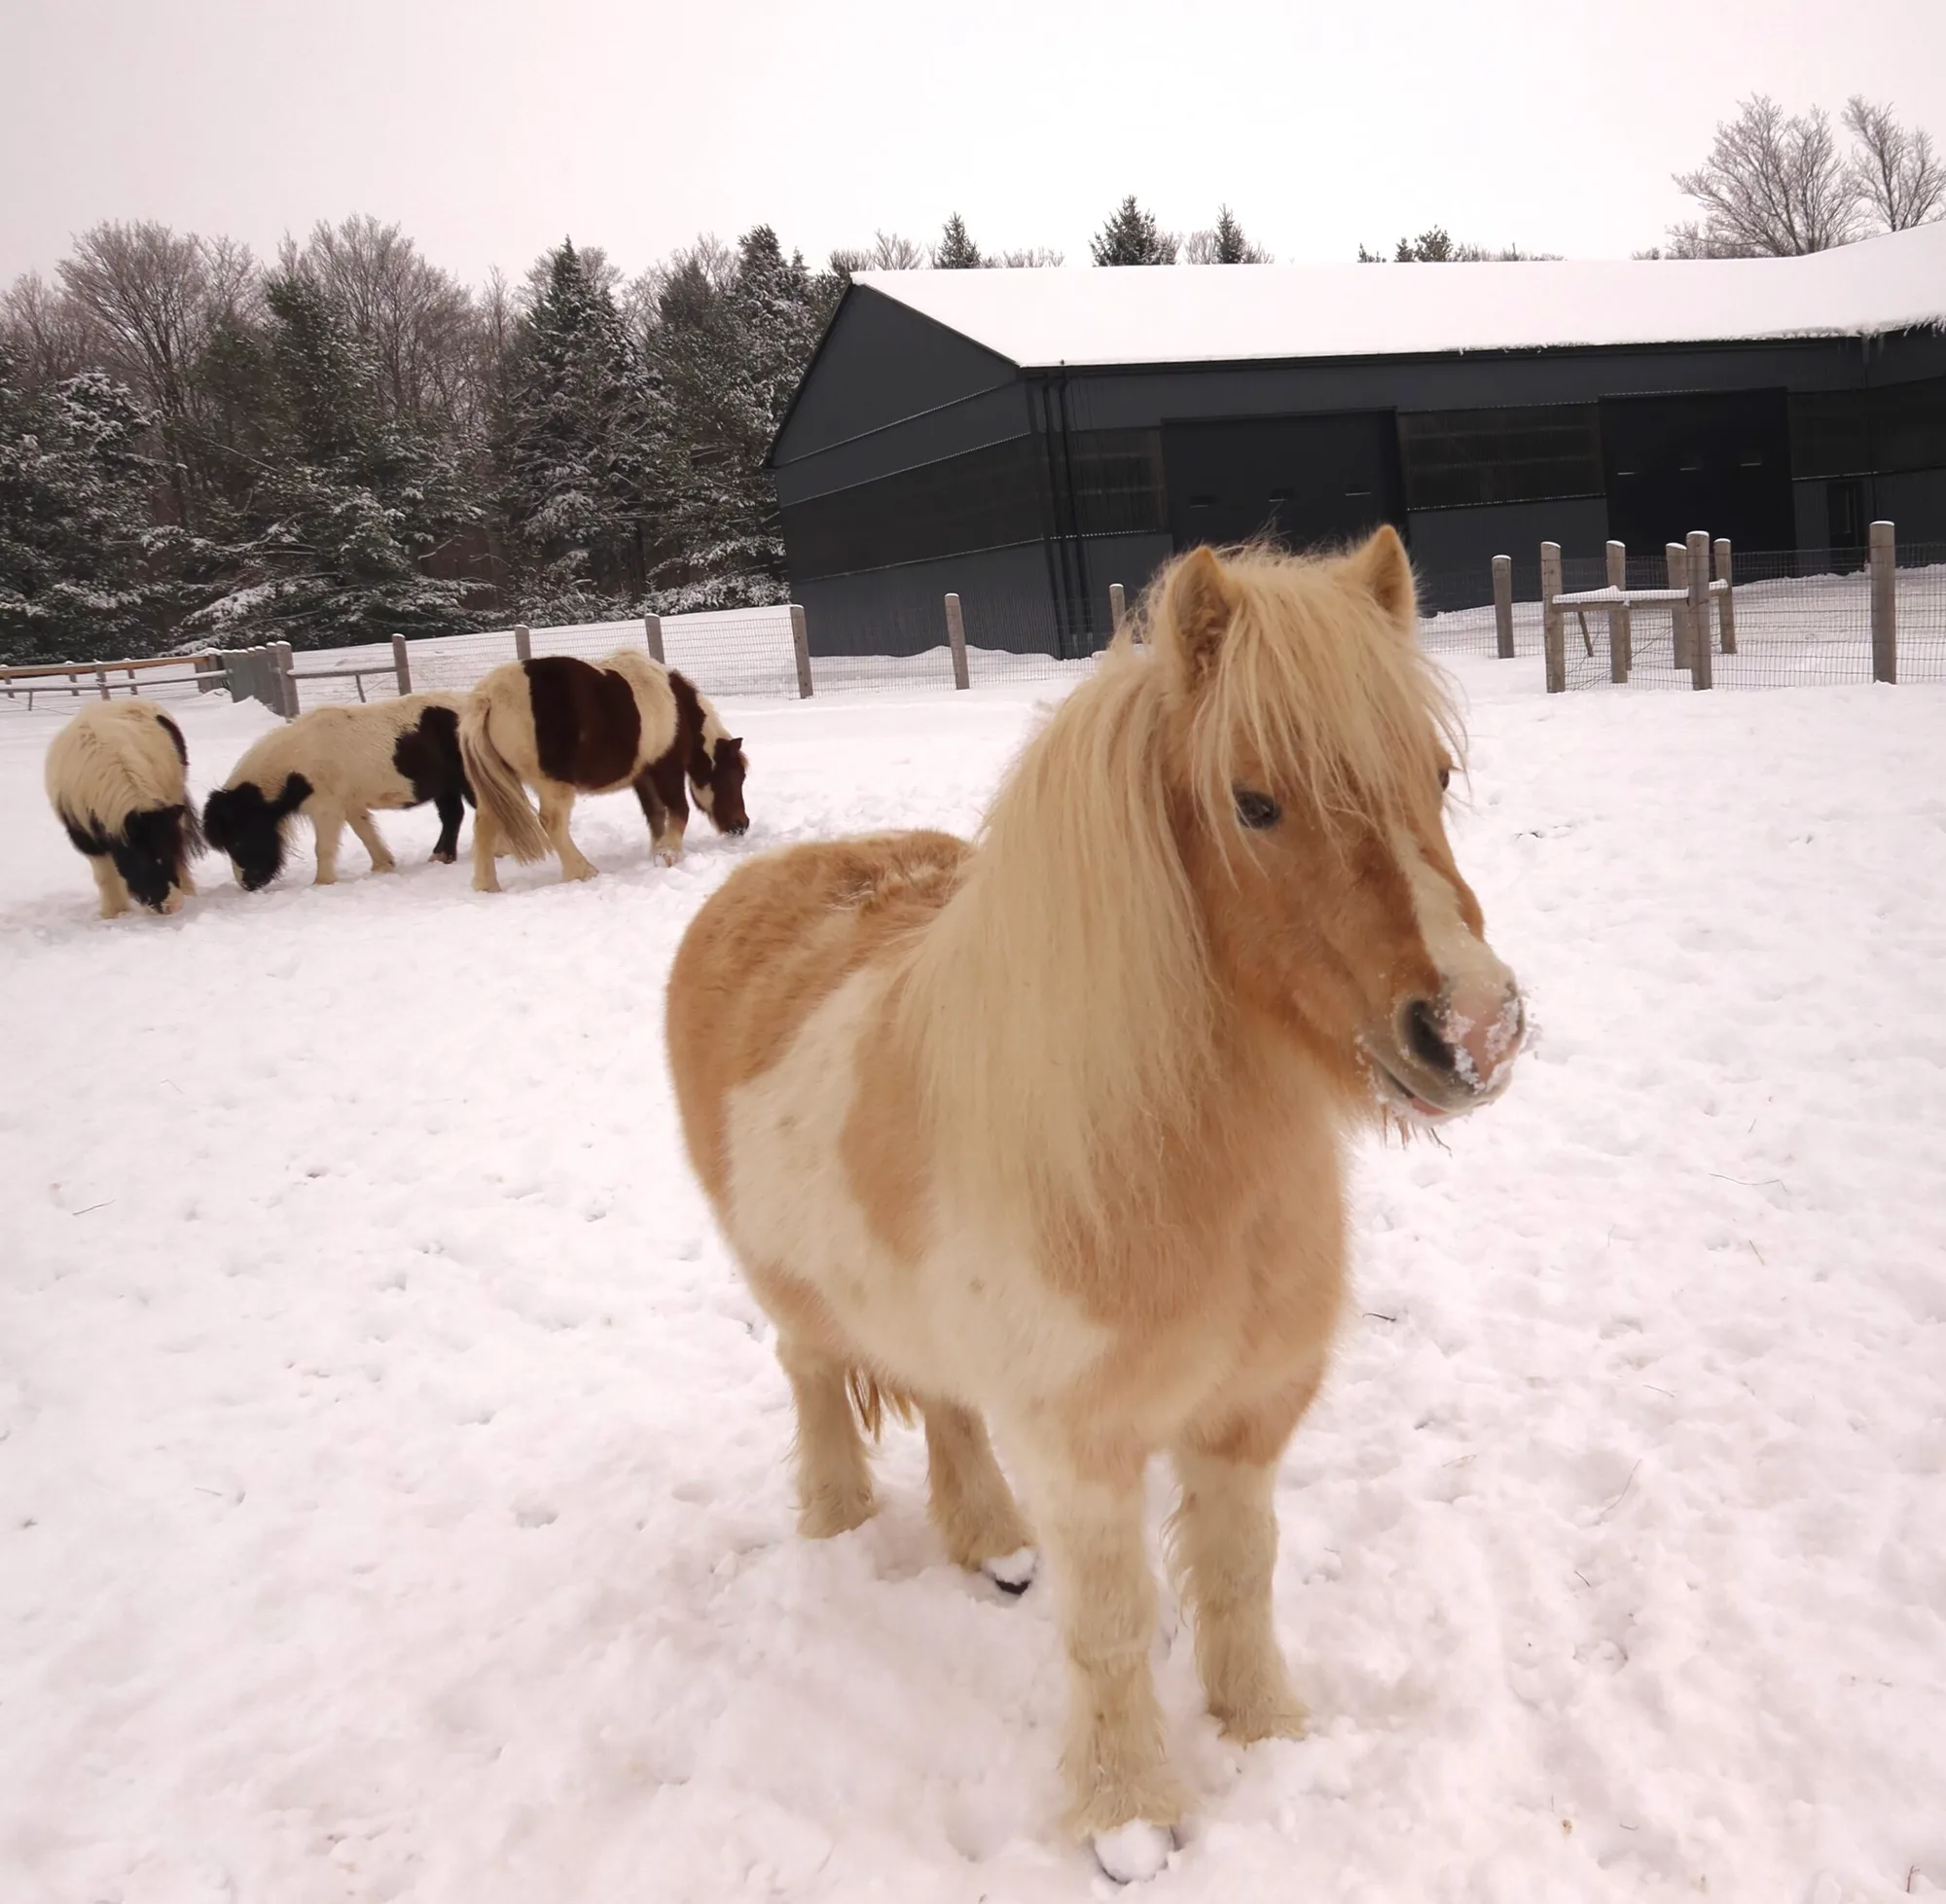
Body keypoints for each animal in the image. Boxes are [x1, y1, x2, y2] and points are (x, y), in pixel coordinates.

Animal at [44, 699, 203, 918]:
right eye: (141, 859)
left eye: (167, 851)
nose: (173, 905)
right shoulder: (86, 836)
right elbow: (105, 876)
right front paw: (114, 914)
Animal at [202, 692, 472, 891]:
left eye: (237, 839)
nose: (247, 884)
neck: (295, 769)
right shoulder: (350, 805)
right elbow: (365, 833)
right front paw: (382, 866)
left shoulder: (326, 808)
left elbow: (323, 847)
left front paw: (322, 883)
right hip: (447, 788)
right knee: (452, 815)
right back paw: (440, 857)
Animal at [457, 649, 748, 892]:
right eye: (736, 776)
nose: (741, 825)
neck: (678, 710)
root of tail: (488, 696)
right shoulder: (665, 767)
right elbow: (679, 811)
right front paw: (669, 853)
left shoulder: (642, 775)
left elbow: (655, 815)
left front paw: (658, 851)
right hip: (553, 784)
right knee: (552, 822)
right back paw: (582, 871)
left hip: (501, 782)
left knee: (485, 823)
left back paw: (487, 886)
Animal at [664, 530, 1524, 1882]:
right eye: (1253, 801)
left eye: (1433, 775)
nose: (1475, 1030)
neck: (1163, 1169)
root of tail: (763, 881)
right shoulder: (1083, 1450)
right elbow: (1114, 1626)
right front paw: (1129, 1821)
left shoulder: (1244, 1419)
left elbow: (1237, 1574)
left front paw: (1262, 1729)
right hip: (791, 1297)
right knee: (813, 1380)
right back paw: (838, 1523)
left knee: (943, 1410)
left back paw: (991, 1546)